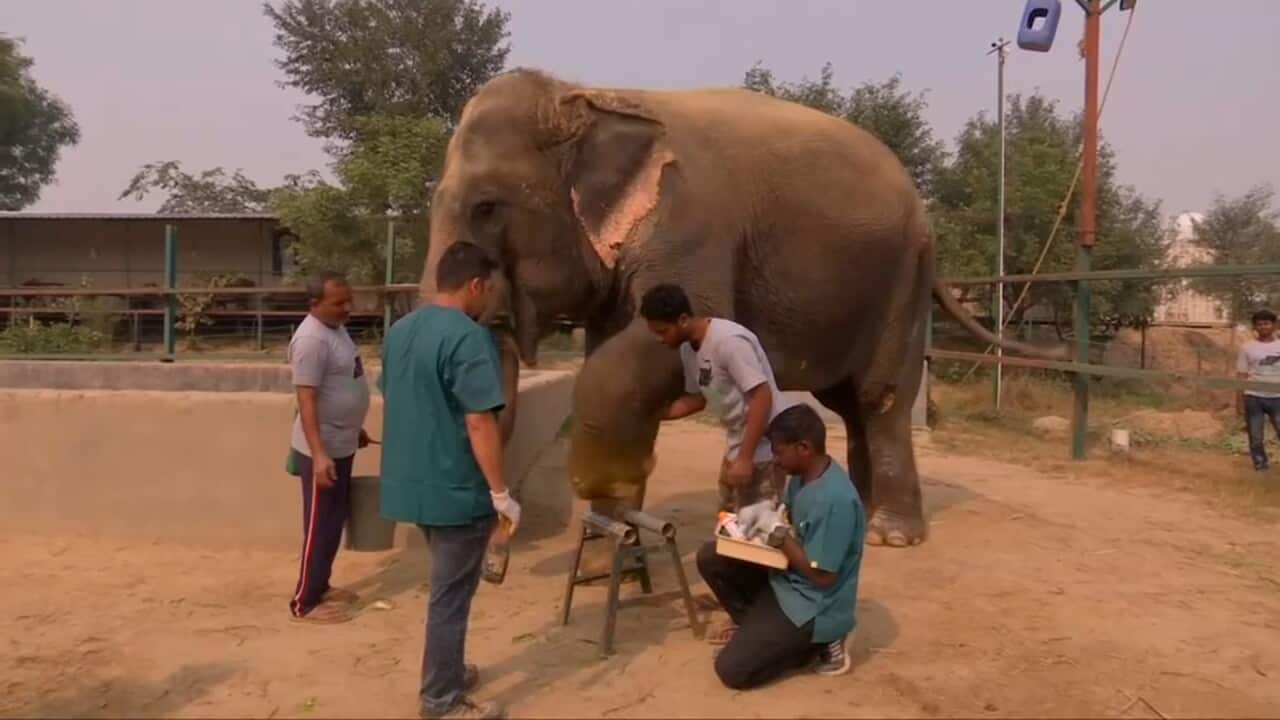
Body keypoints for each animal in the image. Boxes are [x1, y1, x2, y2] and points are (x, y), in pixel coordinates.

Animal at [419, 68, 1059, 547]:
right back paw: (856, 507)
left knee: (880, 398)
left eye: (486, 207)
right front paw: (612, 529)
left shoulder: (690, 222)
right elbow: (610, 355)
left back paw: (891, 534)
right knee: (846, 404)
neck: (589, 94)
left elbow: (644, 350)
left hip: (903, 276)